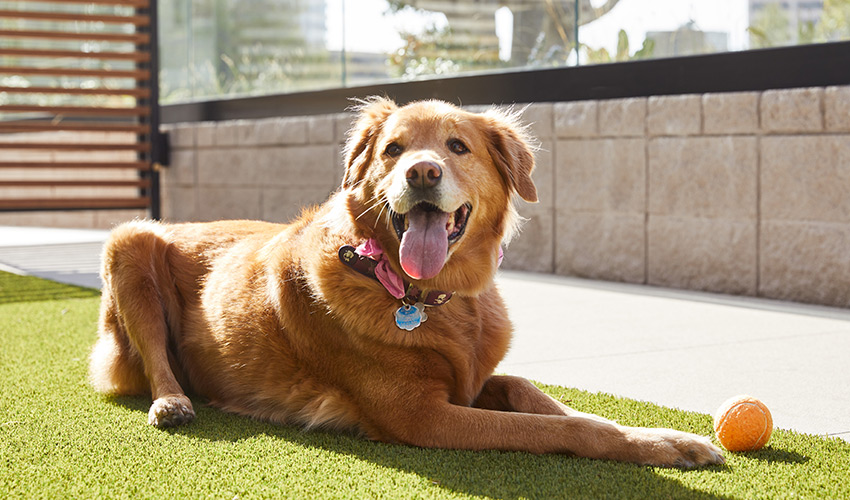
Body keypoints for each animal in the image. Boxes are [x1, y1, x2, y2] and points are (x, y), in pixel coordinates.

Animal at [88, 97, 724, 468]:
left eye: (457, 146)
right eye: (393, 149)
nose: (421, 171)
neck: (434, 298)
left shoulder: (472, 382)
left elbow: (537, 397)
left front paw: (668, 437)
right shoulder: (424, 416)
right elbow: (561, 430)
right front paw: (648, 446)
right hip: (128, 240)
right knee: (155, 361)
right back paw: (172, 402)